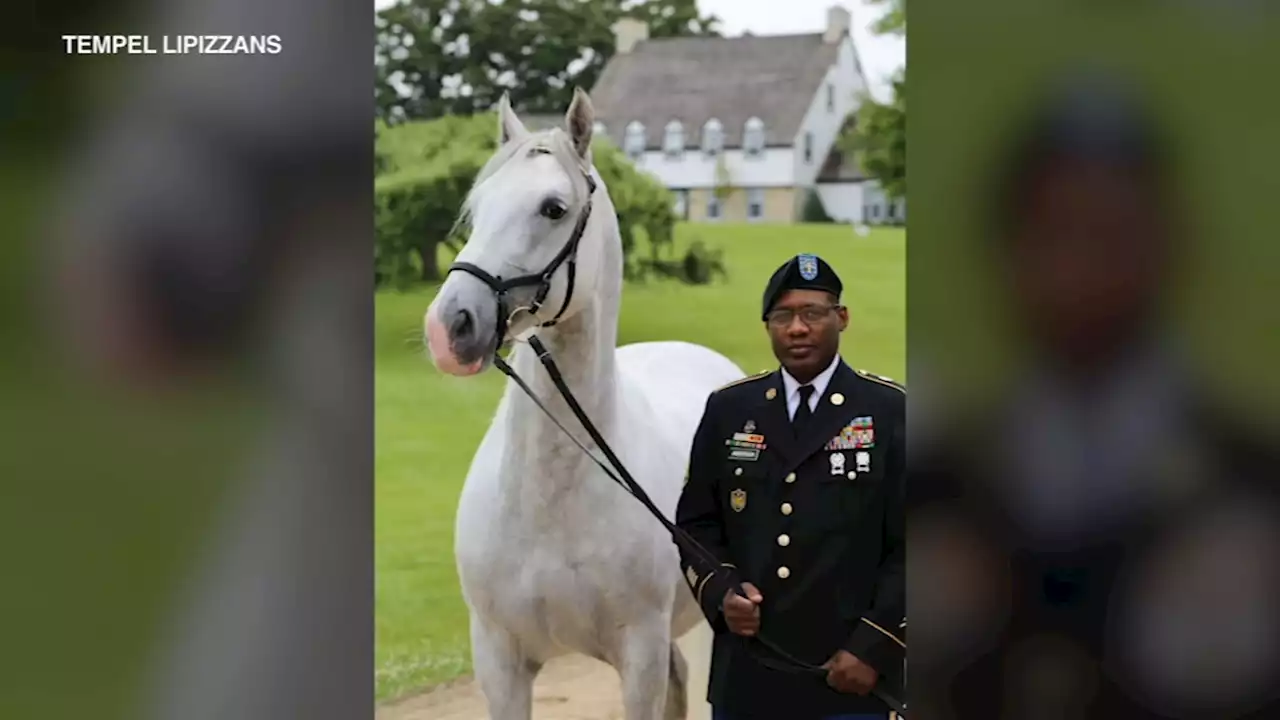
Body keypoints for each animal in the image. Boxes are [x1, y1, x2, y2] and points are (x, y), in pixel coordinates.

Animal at [427, 90, 747, 717]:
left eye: (553, 208)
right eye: (478, 207)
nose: (449, 326)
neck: (548, 504)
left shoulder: (639, 658)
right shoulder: (499, 662)